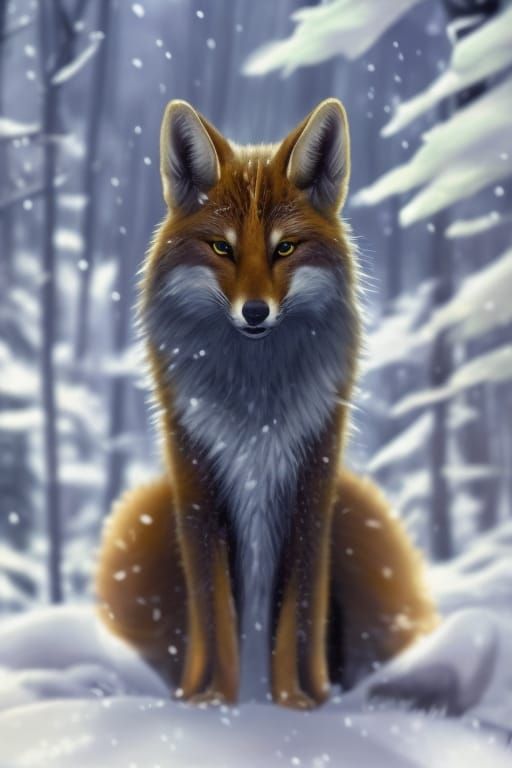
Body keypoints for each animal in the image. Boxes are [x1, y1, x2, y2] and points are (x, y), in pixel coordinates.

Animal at [96, 97, 438, 709]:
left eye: (285, 248)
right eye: (222, 248)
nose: (255, 312)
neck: (256, 405)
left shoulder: (311, 480)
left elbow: (296, 614)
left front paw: (296, 703)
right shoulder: (197, 481)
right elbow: (215, 612)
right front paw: (215, 701)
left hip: (362, 514)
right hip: (145, 514)